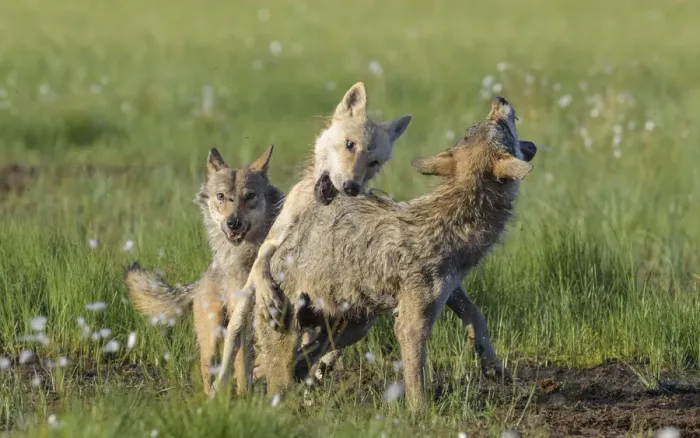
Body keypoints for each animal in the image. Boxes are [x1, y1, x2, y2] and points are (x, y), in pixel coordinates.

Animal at [220, 97, 537, 410]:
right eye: (497, 125)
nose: (500, 99)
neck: (454, 218)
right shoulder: (411, 322)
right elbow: (417, 381)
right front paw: (420, 415)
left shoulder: (448, 289)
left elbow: (476, 315)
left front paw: (492, 366)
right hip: (298, 334)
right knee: (278, 375)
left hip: (355, 327)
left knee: (300, 362)